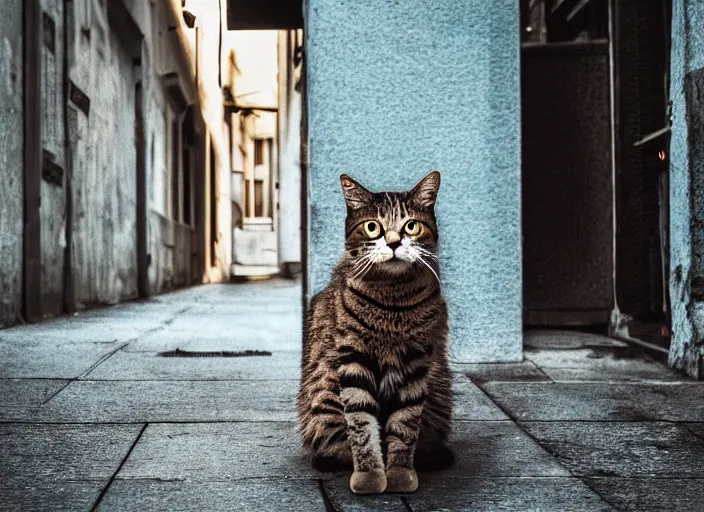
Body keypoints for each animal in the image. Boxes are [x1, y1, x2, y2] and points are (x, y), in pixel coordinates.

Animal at [296, 170, 452, 494]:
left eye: (411, 226)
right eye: (372, 227)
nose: (393, 242)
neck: (392, 301)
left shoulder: (416, 363)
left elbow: (405, 424)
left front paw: (400, 474)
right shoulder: (354, 360)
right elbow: (361, 426)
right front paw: (369, 475)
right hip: (324, 391)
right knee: (332, 443)